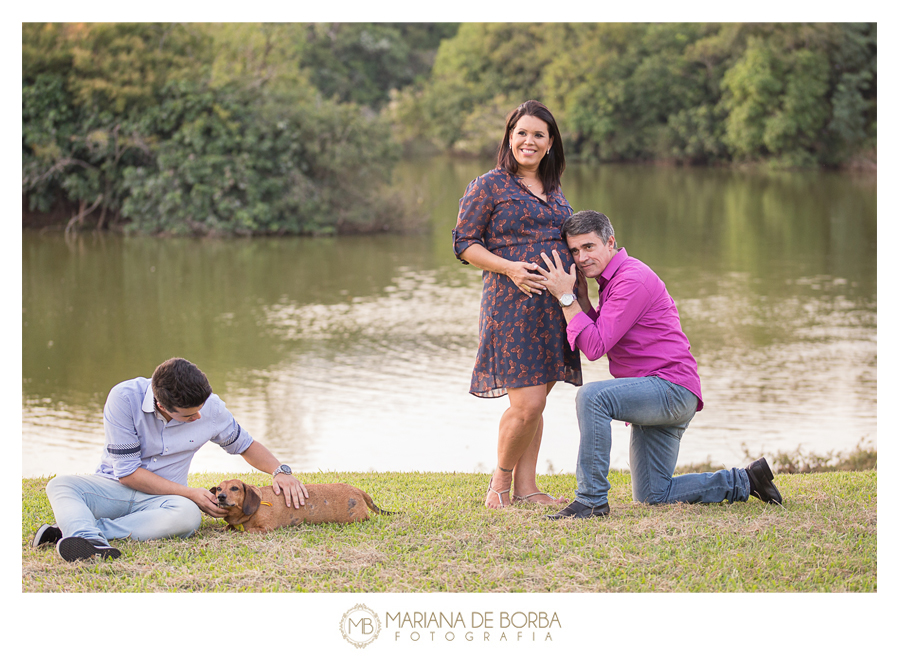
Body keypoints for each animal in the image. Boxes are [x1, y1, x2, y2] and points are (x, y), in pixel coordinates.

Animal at [211, 480, 394, 532]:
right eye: (219, 488)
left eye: (235, 488)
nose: (220, 497)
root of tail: (358, 491)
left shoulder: (265, 528)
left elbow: (246, 531)